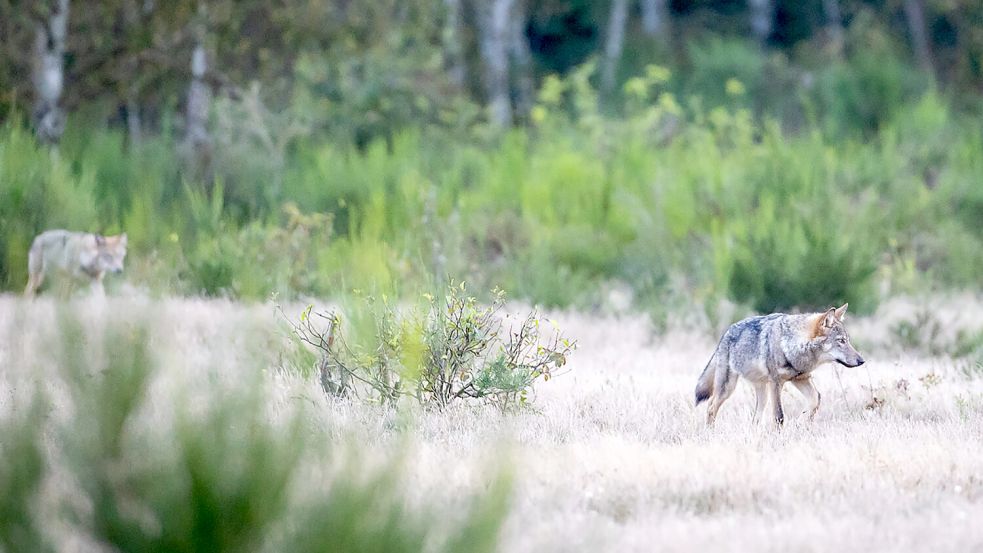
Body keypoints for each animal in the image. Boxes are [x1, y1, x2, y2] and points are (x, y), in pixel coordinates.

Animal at [696, 304, 864, 424]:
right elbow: (779, 416)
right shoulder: (776, 383)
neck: (792, 344)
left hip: (762, 392)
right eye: (841, 341)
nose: (862, 361)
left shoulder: (801, 379)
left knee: (755, 418)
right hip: (728, 388)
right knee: (711, 407)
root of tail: (725, 333)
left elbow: (815, 400)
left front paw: (800, 423)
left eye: (848, 340)